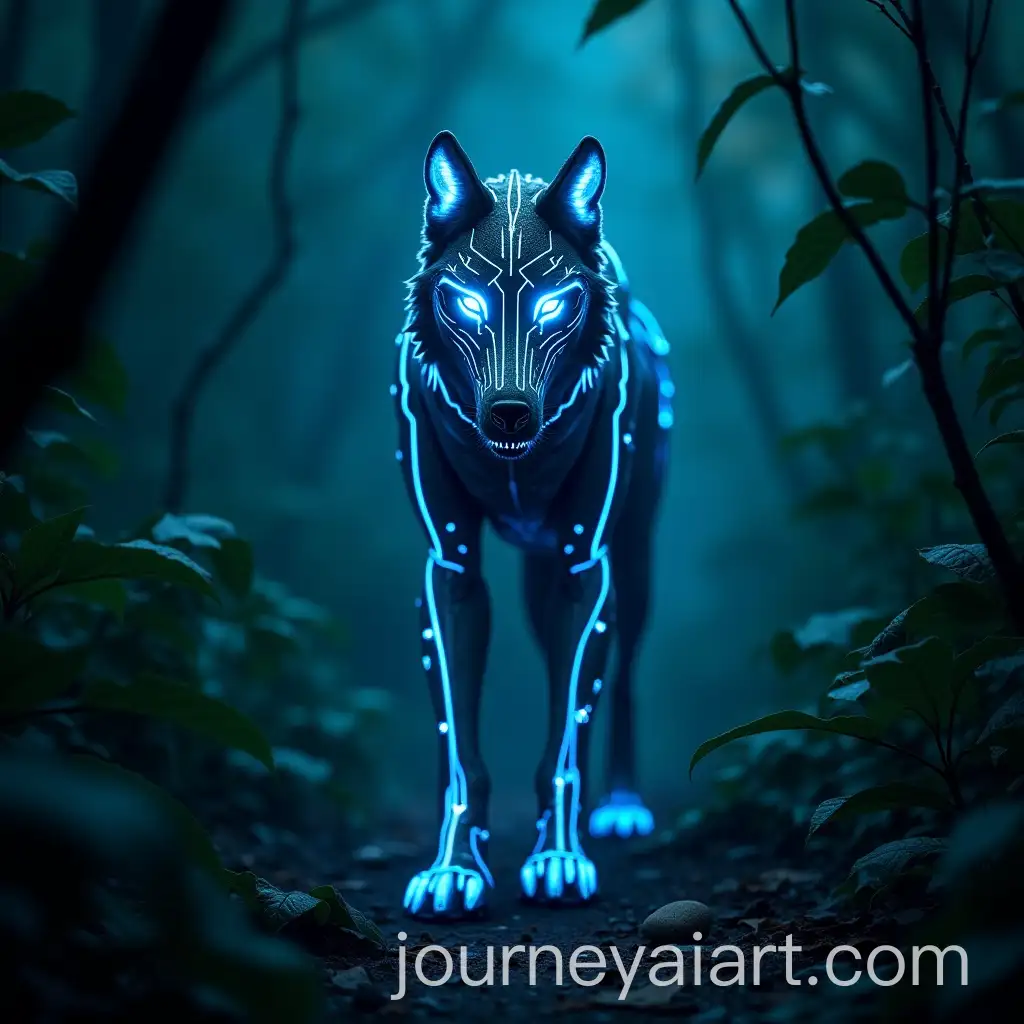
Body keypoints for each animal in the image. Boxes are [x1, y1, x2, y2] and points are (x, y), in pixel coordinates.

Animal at [391, 132, 673, 919]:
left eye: (553, 303)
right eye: (466, 299)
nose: (510, 413)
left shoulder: (584, 565)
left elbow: (563, 742)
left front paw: (558, 861)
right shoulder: (453, 569)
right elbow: (460, 747)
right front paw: (453, 870)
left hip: (629, 562)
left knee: (621, 677)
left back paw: (622, 807)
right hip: (531, 584)